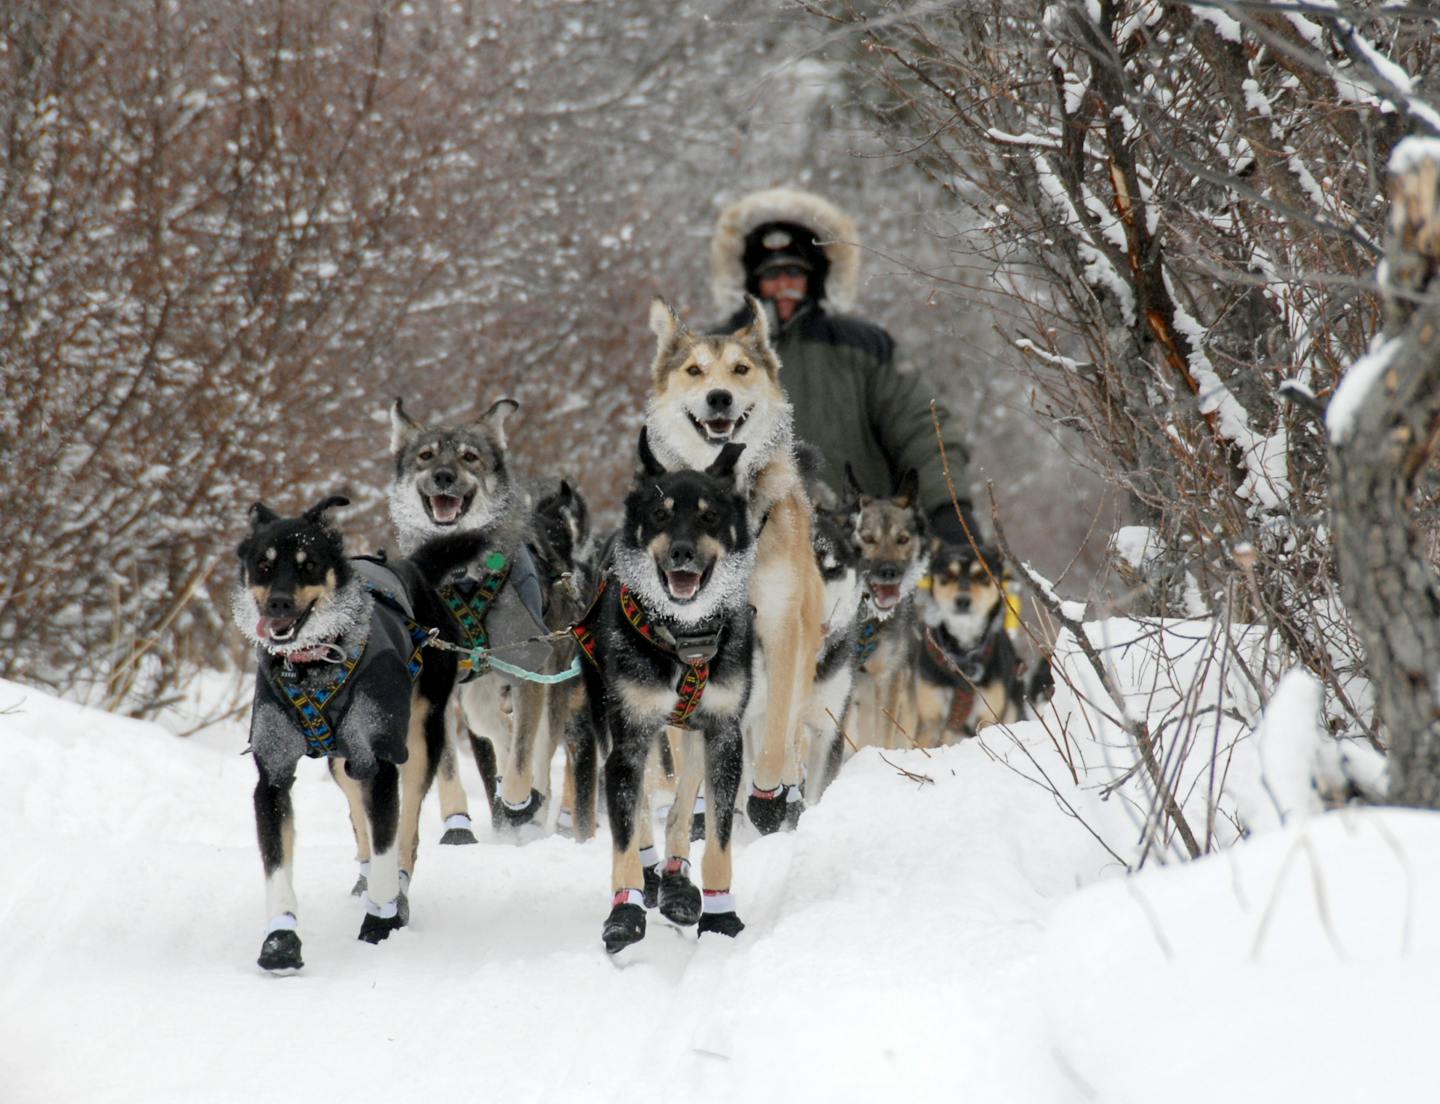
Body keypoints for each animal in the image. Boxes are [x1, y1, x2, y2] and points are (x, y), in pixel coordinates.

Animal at [385, 403, 558, 834]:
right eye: (426, 456)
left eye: (469, 457)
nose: (444, 476)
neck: (462, 574)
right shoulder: (439, 688)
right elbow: (446, 765)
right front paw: (457, 824)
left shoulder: (531, 668)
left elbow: (521, 757)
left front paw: (517, 801)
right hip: (478, 700)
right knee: (498, 730)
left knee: (537, 751)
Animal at [642, 297, 823, 834]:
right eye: (695, 370)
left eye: (741, 369)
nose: (719, 397)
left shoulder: (781, 628)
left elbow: (776, 742)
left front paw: (770, 800)